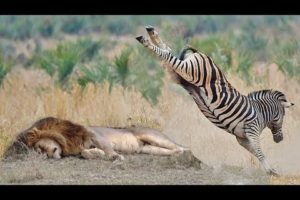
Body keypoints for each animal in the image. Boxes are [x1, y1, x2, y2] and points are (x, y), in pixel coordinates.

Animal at [135, 25, 292, 176]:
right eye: (283, 116)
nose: (281, 139)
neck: (262, 113)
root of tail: (200, 53)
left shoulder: (242, 138)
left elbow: (255, 152)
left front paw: (270, 169)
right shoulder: (251, 131)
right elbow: (259, 151)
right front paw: (271, 171)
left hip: (178, 75)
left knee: (167, 52)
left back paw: (151, 33)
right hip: (191, 71)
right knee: (168, 56)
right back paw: (145, 40)